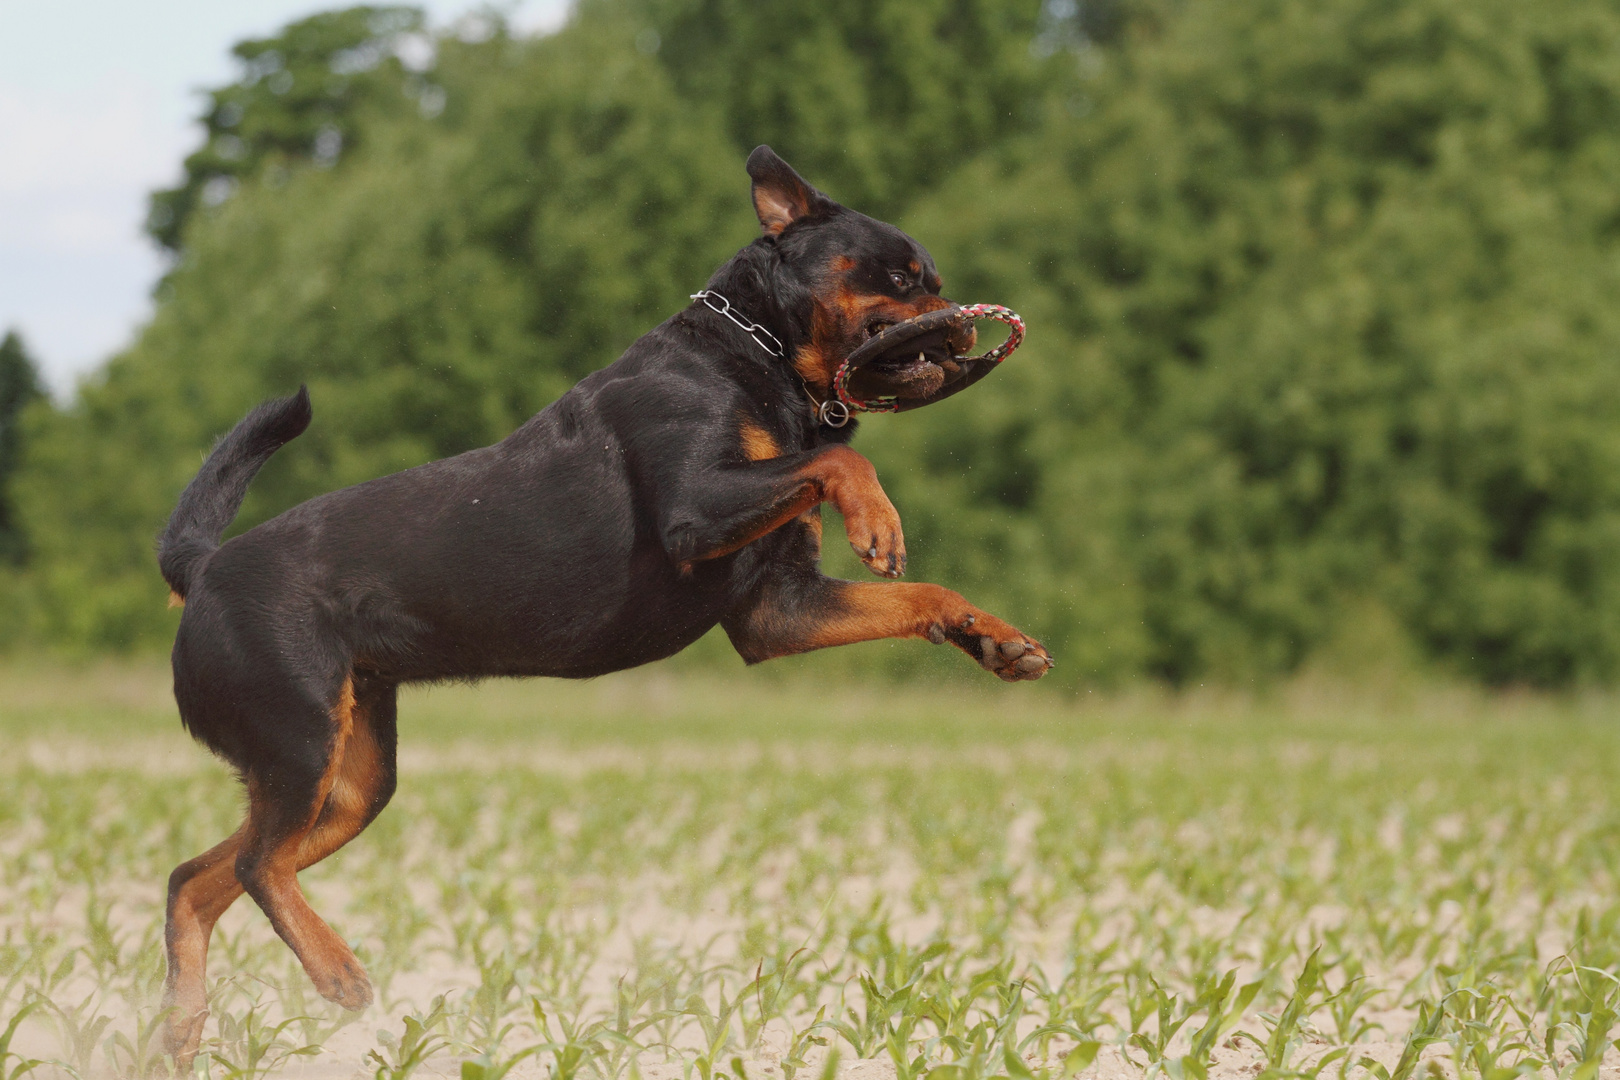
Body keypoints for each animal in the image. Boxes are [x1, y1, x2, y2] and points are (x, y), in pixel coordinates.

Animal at [154, 143, 1049, 1062]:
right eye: (902, 278)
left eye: (934, 281)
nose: (962, 323)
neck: (756, 357)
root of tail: (203, 567)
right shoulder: (697, 509)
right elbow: (841, 465)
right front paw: (878, 517)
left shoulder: (780, 608)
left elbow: (920, 593)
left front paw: (992, 637)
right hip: (299, 741)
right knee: (257, 867)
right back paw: (336, 971)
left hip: (350, 778)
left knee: (197, 879)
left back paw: (182, 1035)